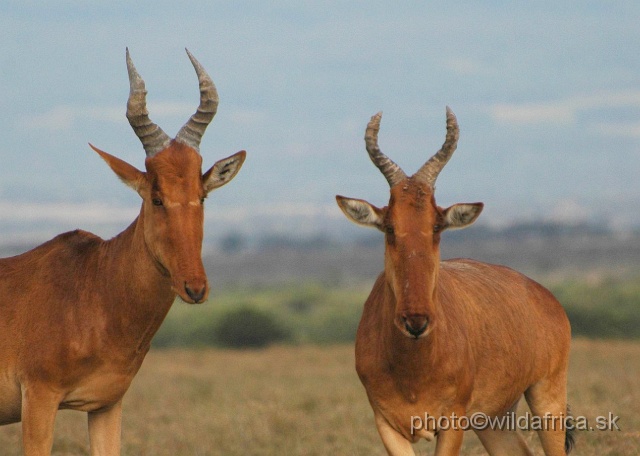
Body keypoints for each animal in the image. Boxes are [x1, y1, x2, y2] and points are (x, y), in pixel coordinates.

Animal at [0, 48, 245, 454]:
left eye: (202, 195)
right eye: (156, 197)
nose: (195, 287)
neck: (92, 283)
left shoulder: (106, 404)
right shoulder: (38, 398)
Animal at [338, 109, 572, 456]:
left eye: (437, 225)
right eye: (390, 227)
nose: (416, 321)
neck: (414, 366)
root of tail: (545, 296)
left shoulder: (453, 421)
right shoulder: (387, 424)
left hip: (547, 394)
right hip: (493, 419)